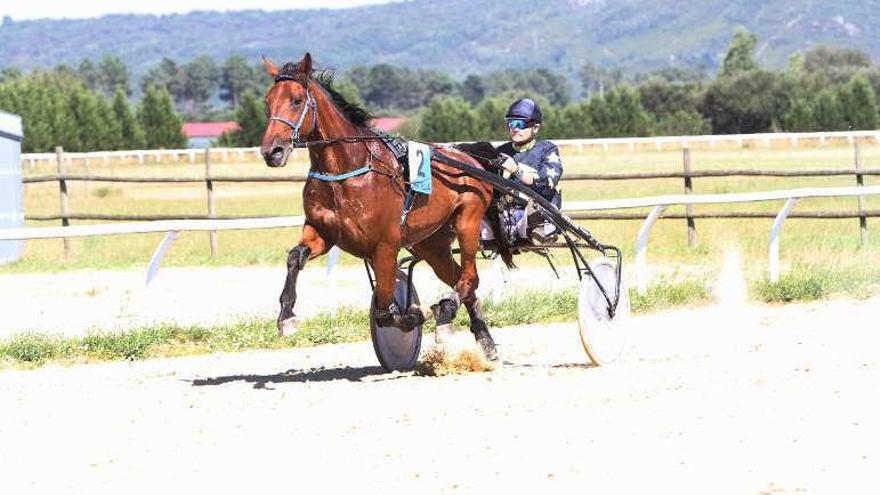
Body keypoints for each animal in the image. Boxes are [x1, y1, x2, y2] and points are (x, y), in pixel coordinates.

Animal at [258, 54, 498, 360]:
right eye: (268, 101)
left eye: (297, 100)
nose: (271, 151)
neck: (348, 170)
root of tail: (468, 157)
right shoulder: (323, 233)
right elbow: (295, 257)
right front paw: (286, 316)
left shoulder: (384, 246)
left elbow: (385, 309)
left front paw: (413, 314)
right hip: (431, 244)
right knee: (459, 278)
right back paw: (482, 337)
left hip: (468, 222)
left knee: (469, 278)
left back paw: (446, 311)